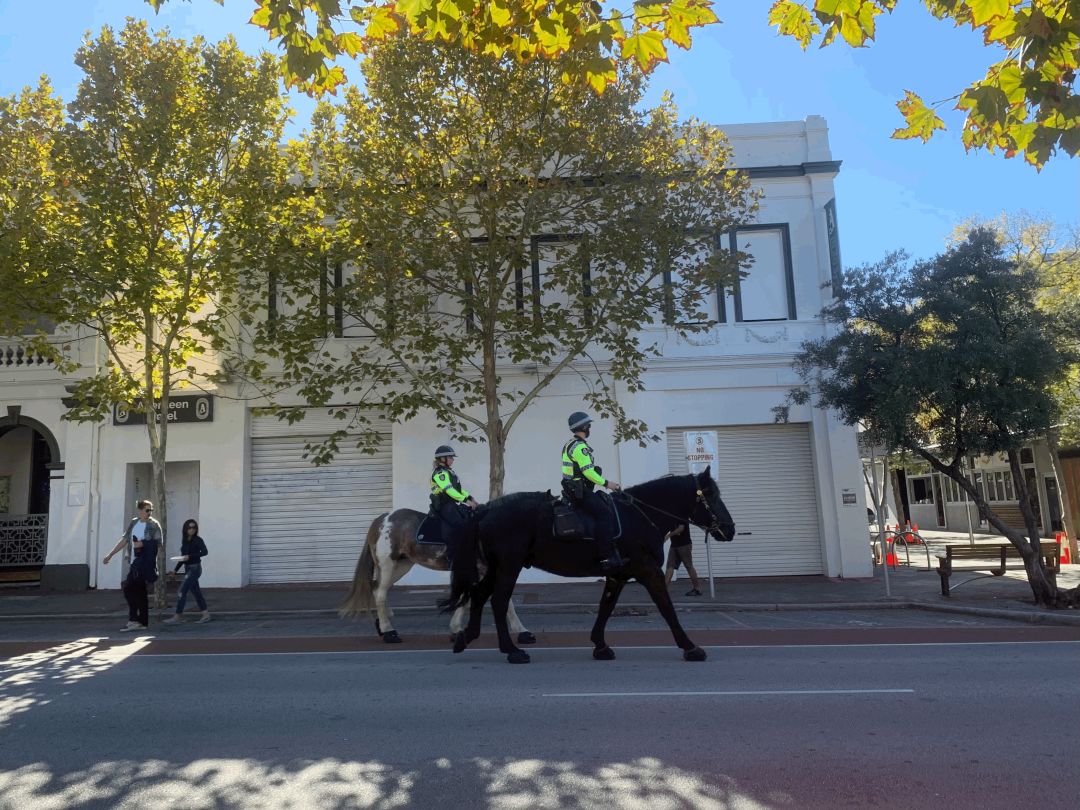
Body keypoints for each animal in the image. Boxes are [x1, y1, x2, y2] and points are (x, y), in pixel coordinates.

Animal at [339, 507, 533, 648]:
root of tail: (382, 519)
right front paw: (522, 631)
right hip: (388, 565)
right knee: (380, 593)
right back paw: (389, 632)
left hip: (401, 566)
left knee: (379, 589)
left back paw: (383, 626)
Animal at [440, 468, 734, 665]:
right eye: (711, 495)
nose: (730, 529)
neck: (639, 516)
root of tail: (485, 510)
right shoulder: (649, 572)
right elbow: (667, 609)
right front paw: (690, 647)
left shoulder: (617, 575)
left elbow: (606, 608)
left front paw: (600, 646)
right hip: (508, 567)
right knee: (499, 601)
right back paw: (512, 650)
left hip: (495, 567)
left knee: (479, 595)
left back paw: (467, 637)